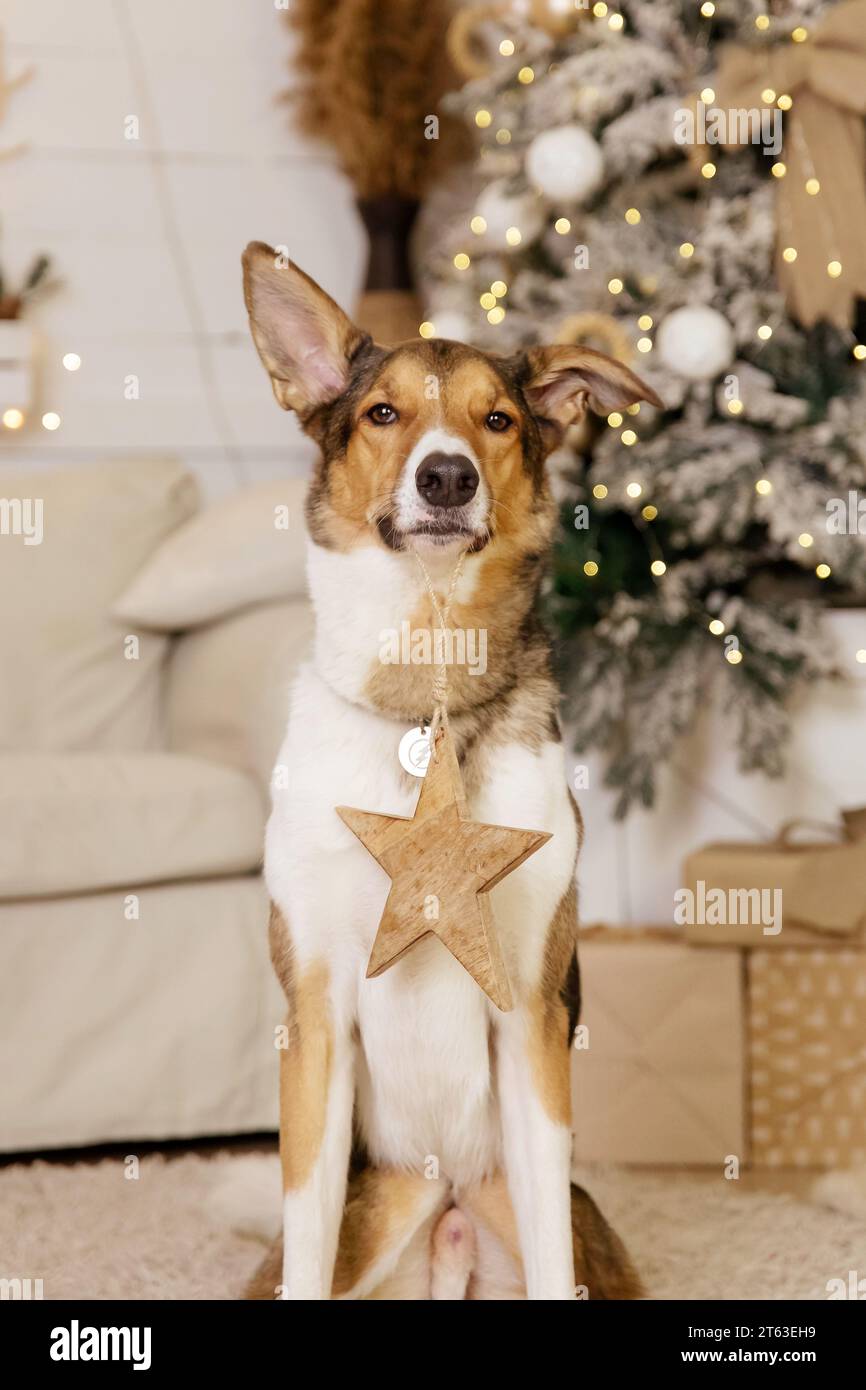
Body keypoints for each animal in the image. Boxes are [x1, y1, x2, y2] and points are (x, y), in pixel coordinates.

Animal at [240, 244, 661, 1295]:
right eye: (383, 414)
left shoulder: (534, 1016)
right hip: (388, 1197)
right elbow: (305, 1236)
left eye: (497, 420)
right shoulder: (314, 1013)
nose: (445, 477)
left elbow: (551, 1252)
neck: (424, 694)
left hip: (532, 1204)